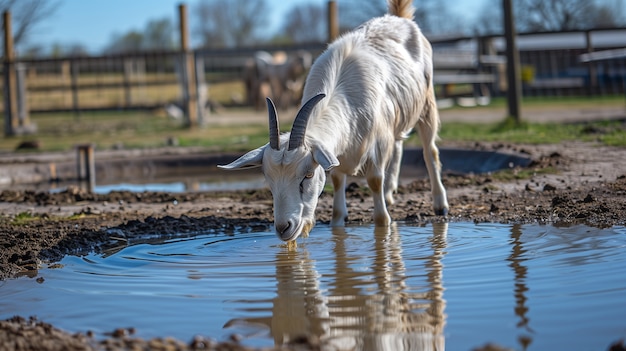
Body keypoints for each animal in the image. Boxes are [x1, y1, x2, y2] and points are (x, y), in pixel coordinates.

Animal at [218, 0, 444, 241]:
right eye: (268, 179)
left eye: (307, 175)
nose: (283, 227)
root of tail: (398, 17)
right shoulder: (336, 153)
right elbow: (336, 181)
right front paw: (338, 221)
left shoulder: (379, 142)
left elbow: (375, 182)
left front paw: (384, 222)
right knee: (399, 144)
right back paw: (390, 193)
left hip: (427, 104)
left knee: (429, 150)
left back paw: (440, 204)